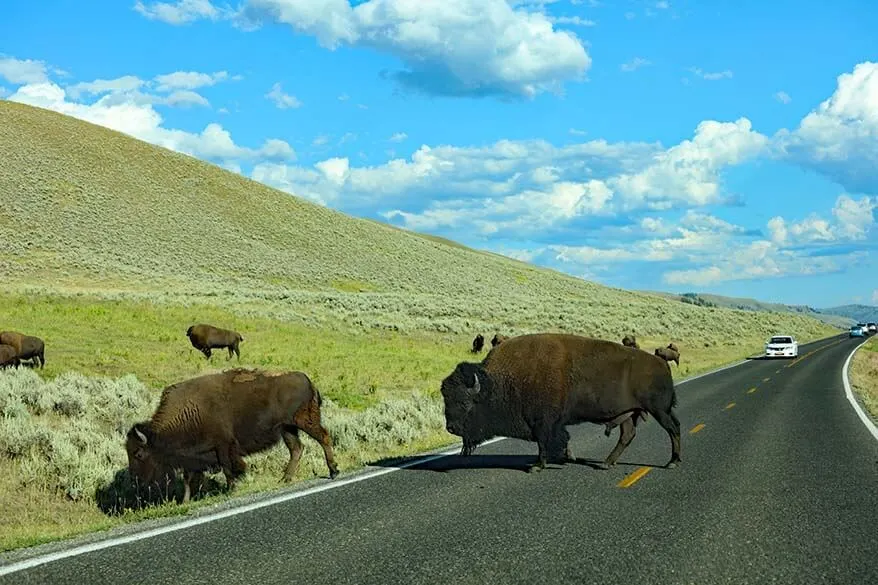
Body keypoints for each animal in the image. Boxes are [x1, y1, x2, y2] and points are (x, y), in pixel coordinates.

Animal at [127, 368, 340, 500]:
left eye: (138, 453)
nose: (136, 481)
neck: (188, 411)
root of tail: (307, 380)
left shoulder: (223, 446)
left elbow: (228, 468)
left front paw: (231, 489)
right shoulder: (193, 457)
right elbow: (189, 478)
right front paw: (185, 501)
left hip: (304, 422)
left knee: (323, 437)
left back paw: (333, 471)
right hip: (287, 429)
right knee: (297, 448)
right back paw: (285, 479)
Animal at [444, 330, 684, 472]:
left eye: (466, 403)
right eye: (446, 399)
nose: (451, 428)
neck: (499, 381)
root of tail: (662, 364)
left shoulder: (543, 422)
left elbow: (544, 442)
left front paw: (538, 466)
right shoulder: (552, 423)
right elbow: (559, 440)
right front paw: (569, 457)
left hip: (659, 410)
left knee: (673, 428)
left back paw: (672, 462)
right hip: (628, 413)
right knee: (628, 434)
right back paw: (607, 463)